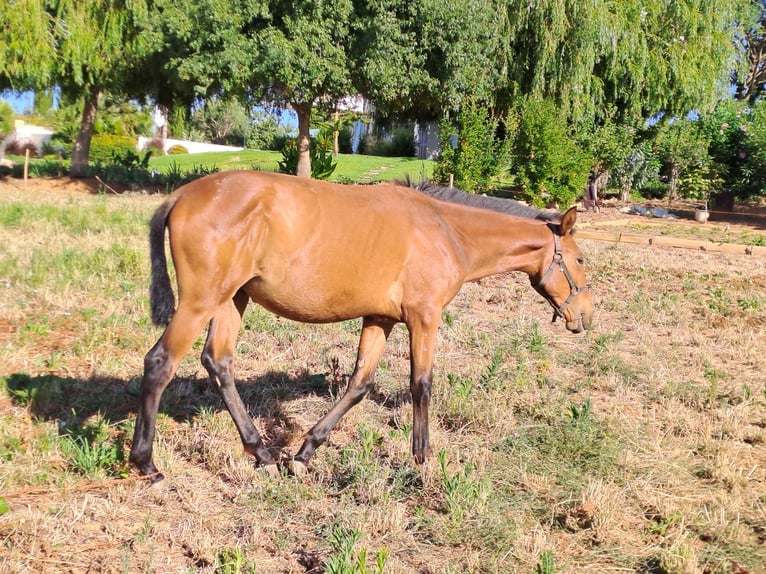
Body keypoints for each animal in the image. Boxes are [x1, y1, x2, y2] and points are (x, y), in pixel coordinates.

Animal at [129, 170, 592, 482]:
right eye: (580, 258)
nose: (584, 317)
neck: (447, 230)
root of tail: (182, 194)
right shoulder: (424, 317)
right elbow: (421, 384)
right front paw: (423, 458)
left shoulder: (380, 319)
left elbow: (358, 385)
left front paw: (304, 452)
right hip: (201, 302)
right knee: (161, 362)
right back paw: (146, 462)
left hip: (232, 299)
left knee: (218, 362)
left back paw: (262, 452)